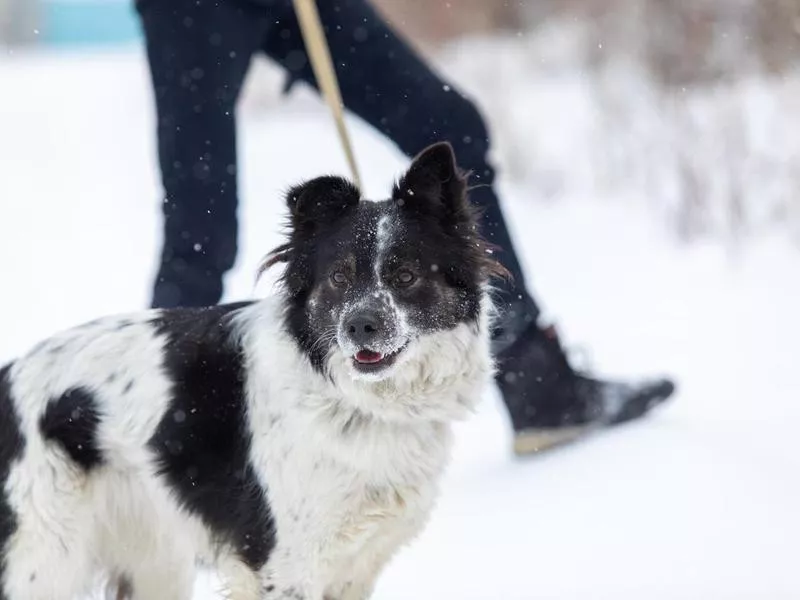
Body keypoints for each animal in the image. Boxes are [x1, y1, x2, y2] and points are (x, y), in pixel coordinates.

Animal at [0, 143, 500, 596]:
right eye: (338, 277)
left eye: (405, 276)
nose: (360, 326)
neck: (353, 400)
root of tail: (10, 374)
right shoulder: (285, 566)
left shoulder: (355, 568)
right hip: (46, 561)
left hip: (154, 562)